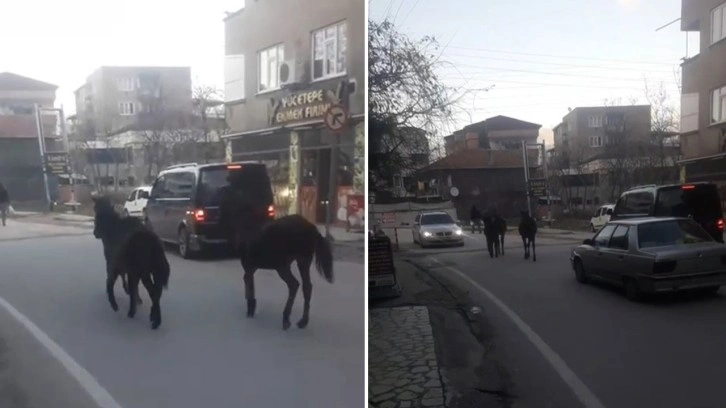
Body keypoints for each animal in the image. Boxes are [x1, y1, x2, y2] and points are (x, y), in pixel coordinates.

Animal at [91, 196, 169, 330]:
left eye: (97, 216)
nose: (95, 233)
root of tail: (154, 244)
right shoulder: (128, 270)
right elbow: (131, 286)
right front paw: (135, 300)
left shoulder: (113, 263)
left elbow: (110, 282)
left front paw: (115, 305)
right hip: (154, 271)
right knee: (156, 292)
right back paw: (154, 319)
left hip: (142, 271)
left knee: (151, 291)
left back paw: (137, 314)